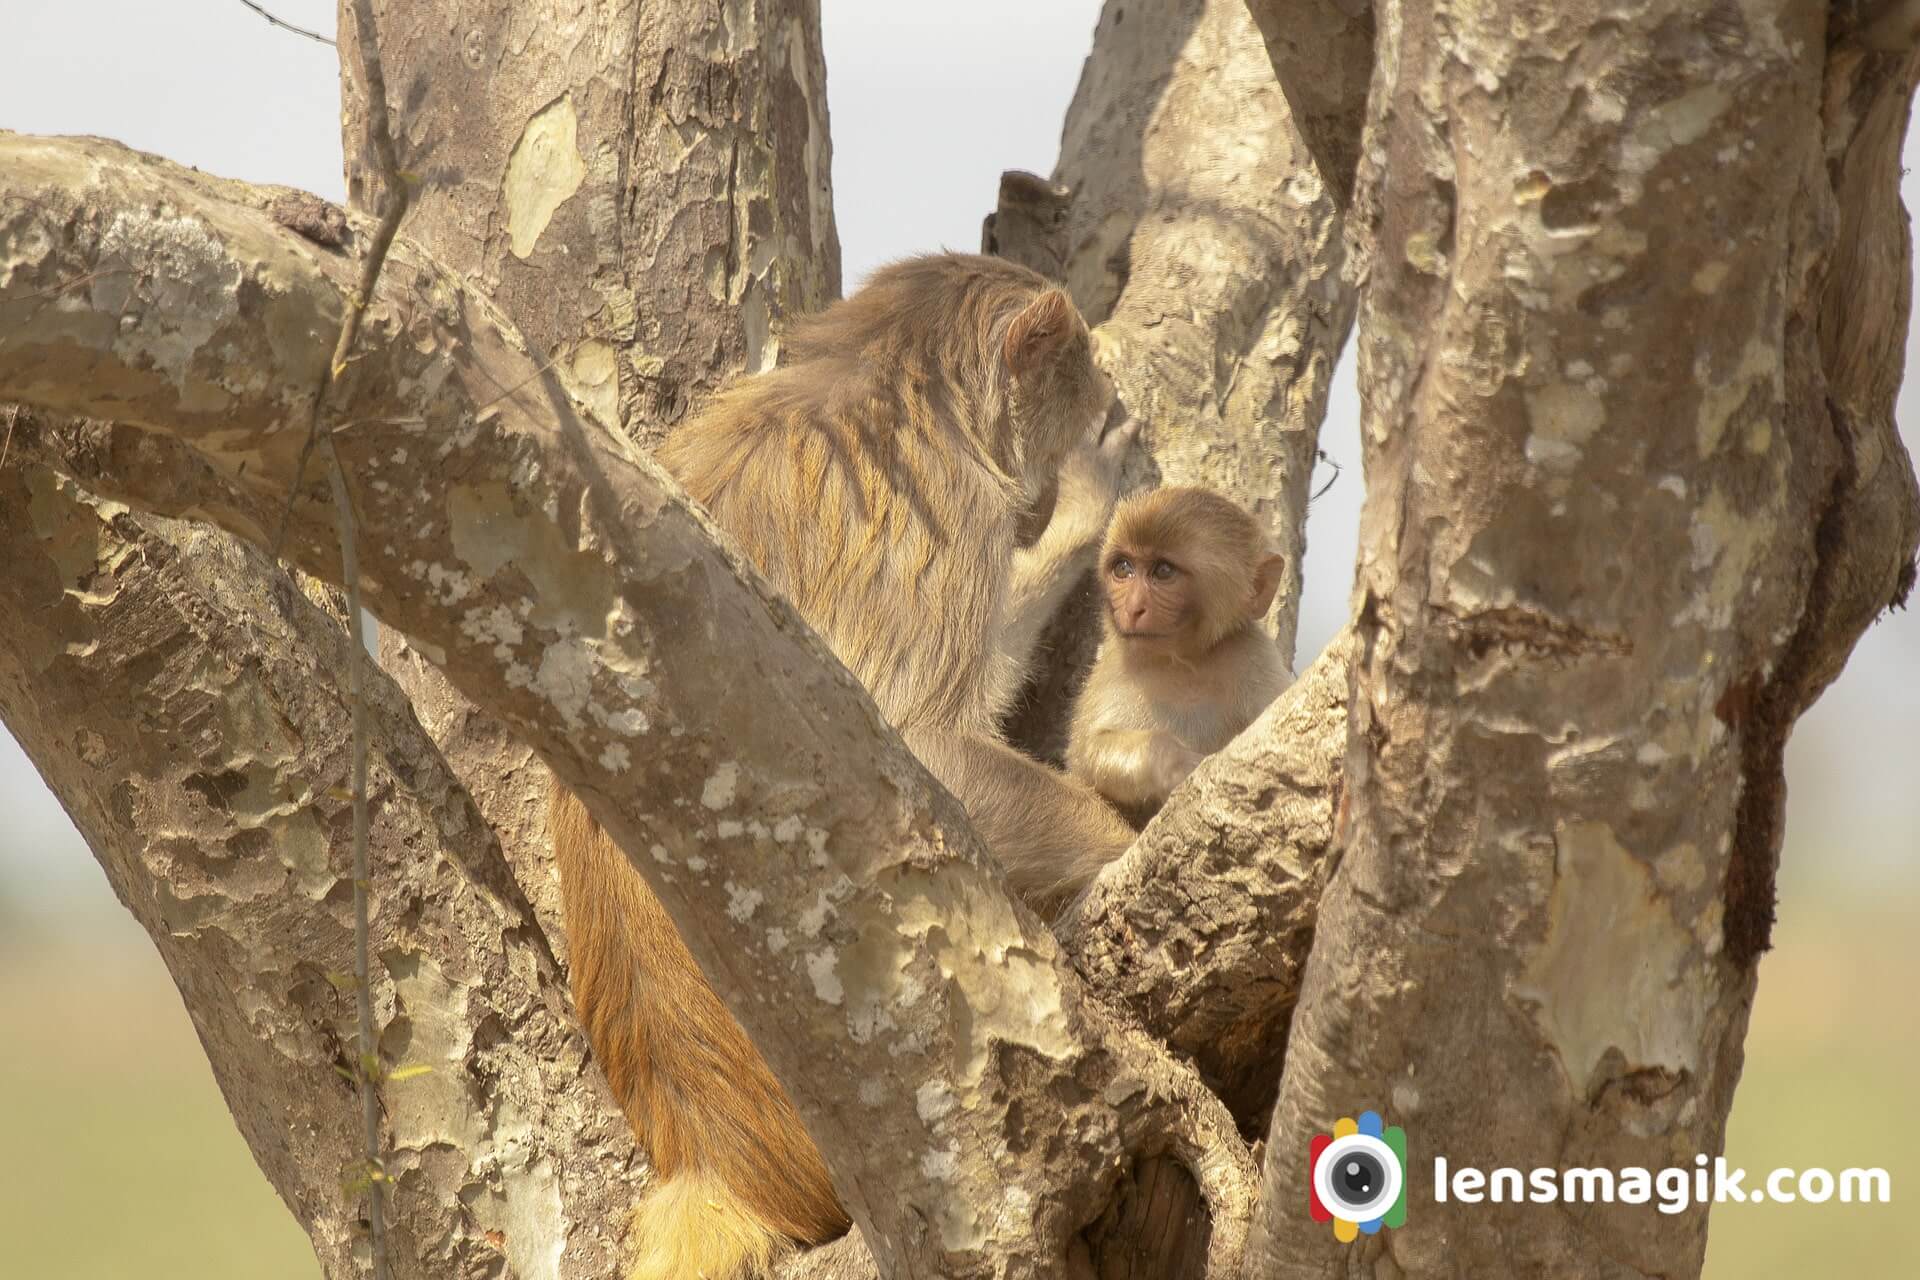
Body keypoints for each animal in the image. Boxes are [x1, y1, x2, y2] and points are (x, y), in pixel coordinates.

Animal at [1067, 485, 1290, 825]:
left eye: (1163, 571)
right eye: (1123, 568)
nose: (1132, 608)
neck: (1184, 664)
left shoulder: (1255, 656)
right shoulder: (1115, 667)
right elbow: (1086, 755)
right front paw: (1174, 763)